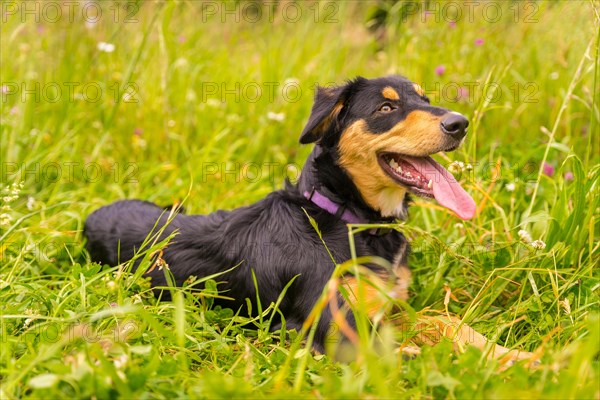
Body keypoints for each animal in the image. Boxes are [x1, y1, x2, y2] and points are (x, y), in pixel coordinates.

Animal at [83, 74, 528, 362]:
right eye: (386, 107)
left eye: (423, 98)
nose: (460, 123)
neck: (347, 217)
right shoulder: (331, 329)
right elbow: (410, 353)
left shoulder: (387, 307)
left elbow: (445, 319)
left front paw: (514, 354)